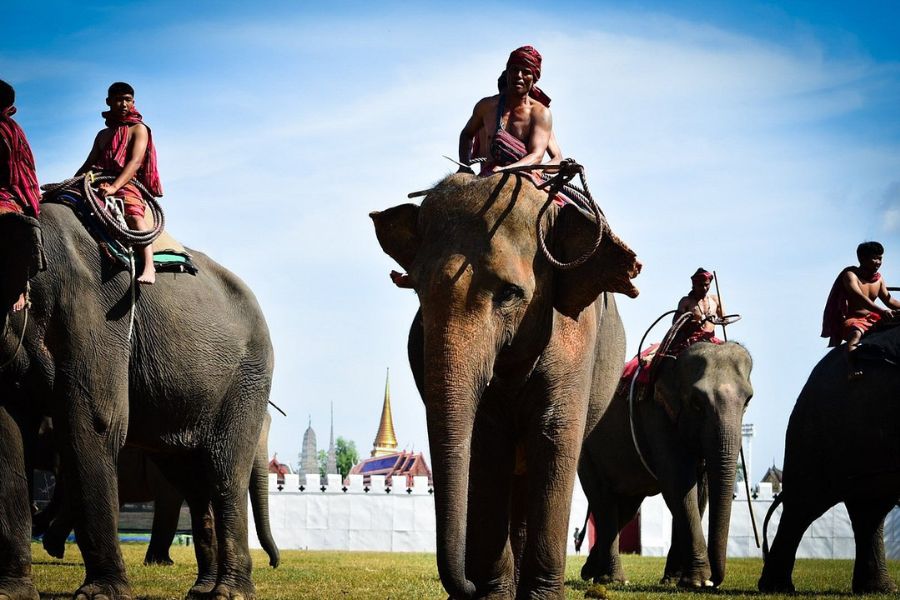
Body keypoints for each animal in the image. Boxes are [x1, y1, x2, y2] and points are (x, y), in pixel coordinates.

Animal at [371, 171, 641, 599]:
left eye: (511, 294)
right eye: (416, 291)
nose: (467, 585)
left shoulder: (575, 339)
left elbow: (554, 437)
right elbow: (486, 444)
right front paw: (493, 594)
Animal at [578, 340, 753, 588]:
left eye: (748, 400)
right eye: (697, 403)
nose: (715, 582)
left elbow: (700, 490)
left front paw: (676, 580)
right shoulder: (656, 414)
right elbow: (679, 485)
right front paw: (698, 582)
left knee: (627, 508)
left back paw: (590, 571)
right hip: (586, 451)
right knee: (603, 500)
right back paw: (613, 580)